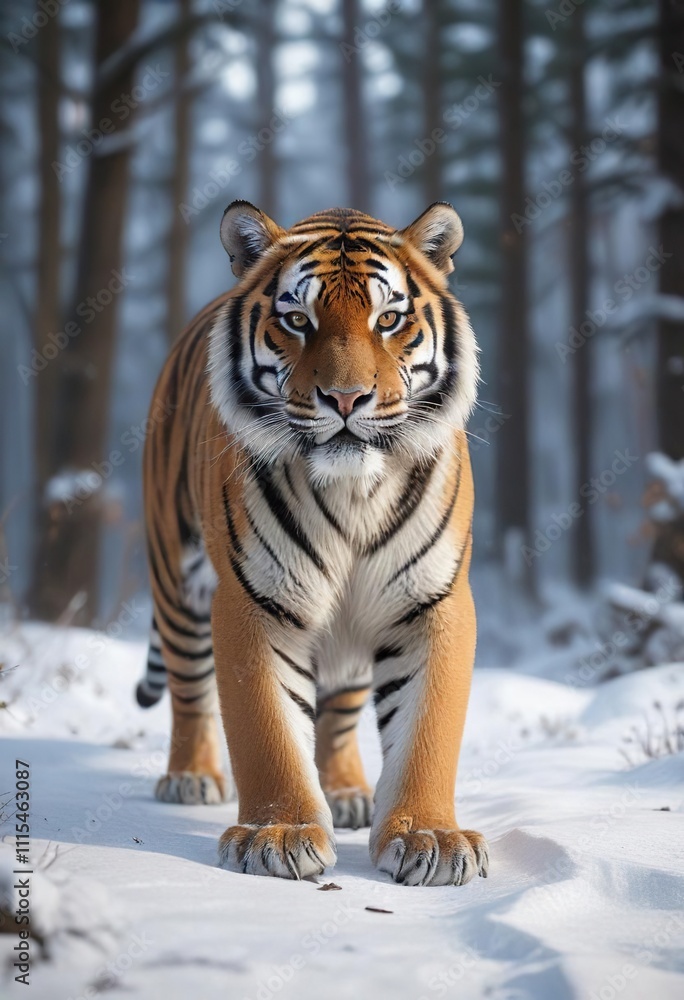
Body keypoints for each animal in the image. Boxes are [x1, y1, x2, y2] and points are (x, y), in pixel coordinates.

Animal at [137, 199, 488, 886]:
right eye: (297, 320)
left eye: (388, 319)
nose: (346, 399)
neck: (353, 493)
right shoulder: (252, 601)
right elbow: (266, 728)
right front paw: (277, 834)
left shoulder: (431, 603)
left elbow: (427, 730)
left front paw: (430, 837)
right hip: (176, 578)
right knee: (188, 686)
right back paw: (190, 777)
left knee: (340, 712)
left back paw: (348, 791)